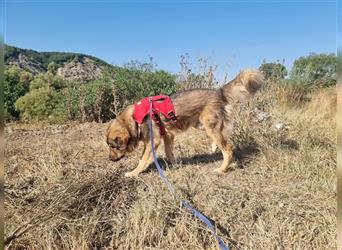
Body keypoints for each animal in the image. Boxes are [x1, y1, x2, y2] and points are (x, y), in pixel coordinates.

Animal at [107, 69, 264, 177]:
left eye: (114, 147)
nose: (110, 159)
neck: (135, 119)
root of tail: (218, 91)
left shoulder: (153, 141)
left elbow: (142, 159)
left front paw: (134, 172)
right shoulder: (168, 136)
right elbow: (169, 152)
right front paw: (176, 165)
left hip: (210, 126)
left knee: (228, 150)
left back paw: (221, 169)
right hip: (203, 125)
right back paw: (214, 147)